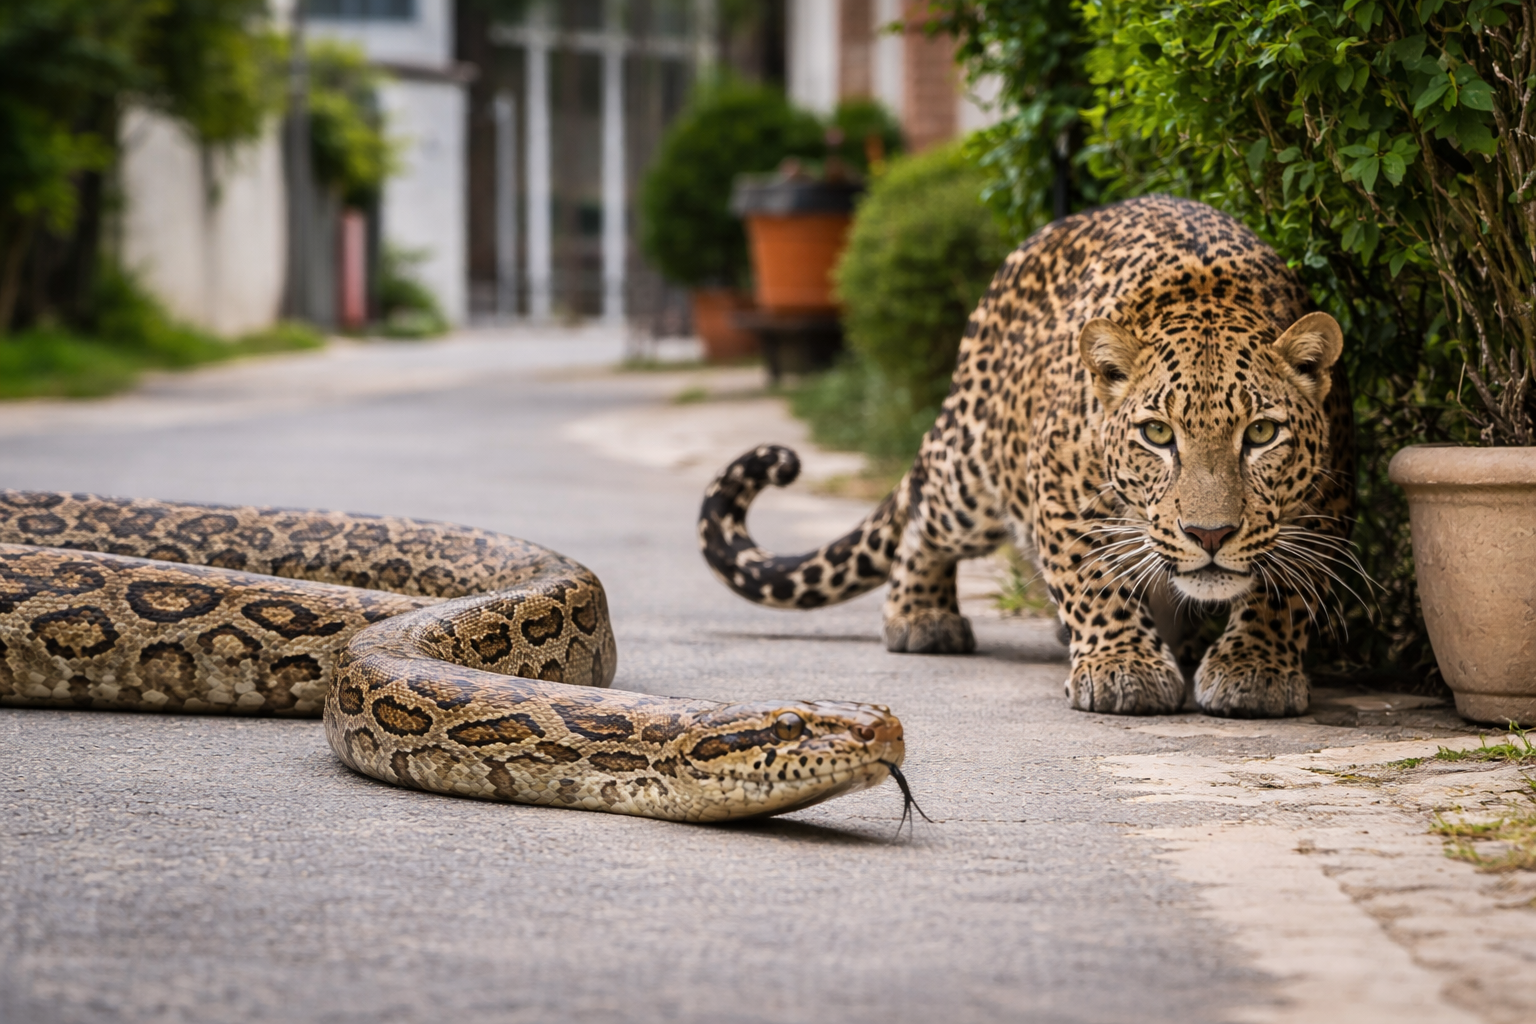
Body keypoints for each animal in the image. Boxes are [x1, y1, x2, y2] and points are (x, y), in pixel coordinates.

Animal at [698, 195, 1357, 718]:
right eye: (1157, 434)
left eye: (1262, 433)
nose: (1210, 534)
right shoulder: (1061, 488)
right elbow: (1091, 578)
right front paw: (1123, 668)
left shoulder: (1326, 500)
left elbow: (1282, 593)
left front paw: (1255, 670)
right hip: (969, 477)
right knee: (922, 521)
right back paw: (921, 617)